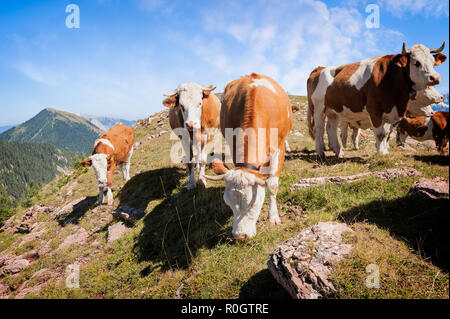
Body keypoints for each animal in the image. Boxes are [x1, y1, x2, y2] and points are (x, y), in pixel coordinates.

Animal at [203, 74, 292, 240]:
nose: (240, 236)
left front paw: (273, 216)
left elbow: (272, 185)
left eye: (252, 204)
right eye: (229, 203)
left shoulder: (279, 147)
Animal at [306, 42, 446, 158]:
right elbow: (380, 134)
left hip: (333, 110)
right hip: (318, 106)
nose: (435, 78)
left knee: (331, 128)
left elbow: (386, 134)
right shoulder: (375, 110)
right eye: (416, 62)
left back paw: (338, 151)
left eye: (433, 62)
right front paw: (380, 153)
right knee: (319, 128)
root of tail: (318, 69)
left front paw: (384, 151)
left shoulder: (390, 114)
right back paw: (320, 152)